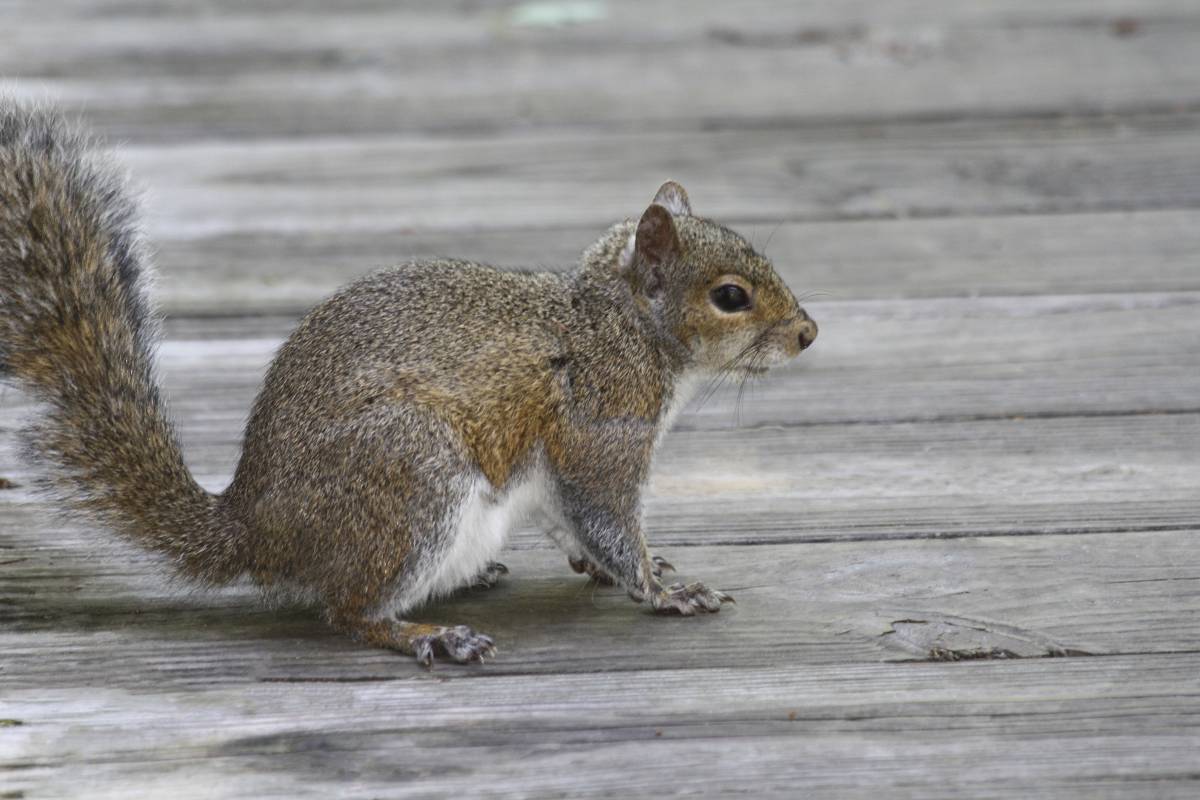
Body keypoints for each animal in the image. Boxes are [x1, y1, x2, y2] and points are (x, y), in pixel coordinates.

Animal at [0, 100, 816, 666]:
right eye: (731, 296)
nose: (808, 332)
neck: (618, 326)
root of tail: (256, 529)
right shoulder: (599, 429)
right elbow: (606, 517)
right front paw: (664, 589)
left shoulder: (562, 469)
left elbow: (568, 521)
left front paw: (616, 568)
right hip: (411, 477)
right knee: (349, 612)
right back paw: (431, 634)